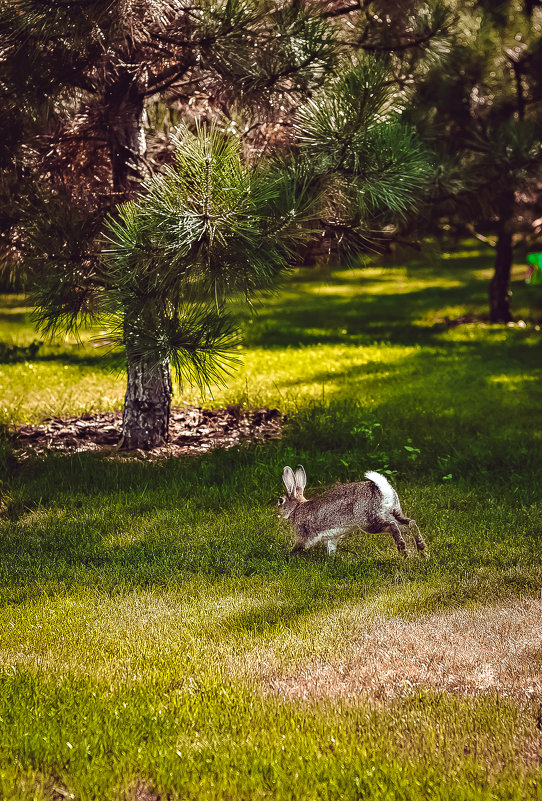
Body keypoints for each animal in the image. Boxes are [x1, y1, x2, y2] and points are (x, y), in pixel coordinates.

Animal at [280, 462, 430, 556]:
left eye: (280, 500)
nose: (278, 513)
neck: (297, 508)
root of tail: (383, 490)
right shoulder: (333, 537)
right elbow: (331, 547)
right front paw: (331, 559)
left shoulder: (301, 532)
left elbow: (299, 544)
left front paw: (289, 553)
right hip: (393, 512)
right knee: (410, 523)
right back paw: (423, 551)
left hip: (369, 522)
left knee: (393, 526)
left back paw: (403, 551)